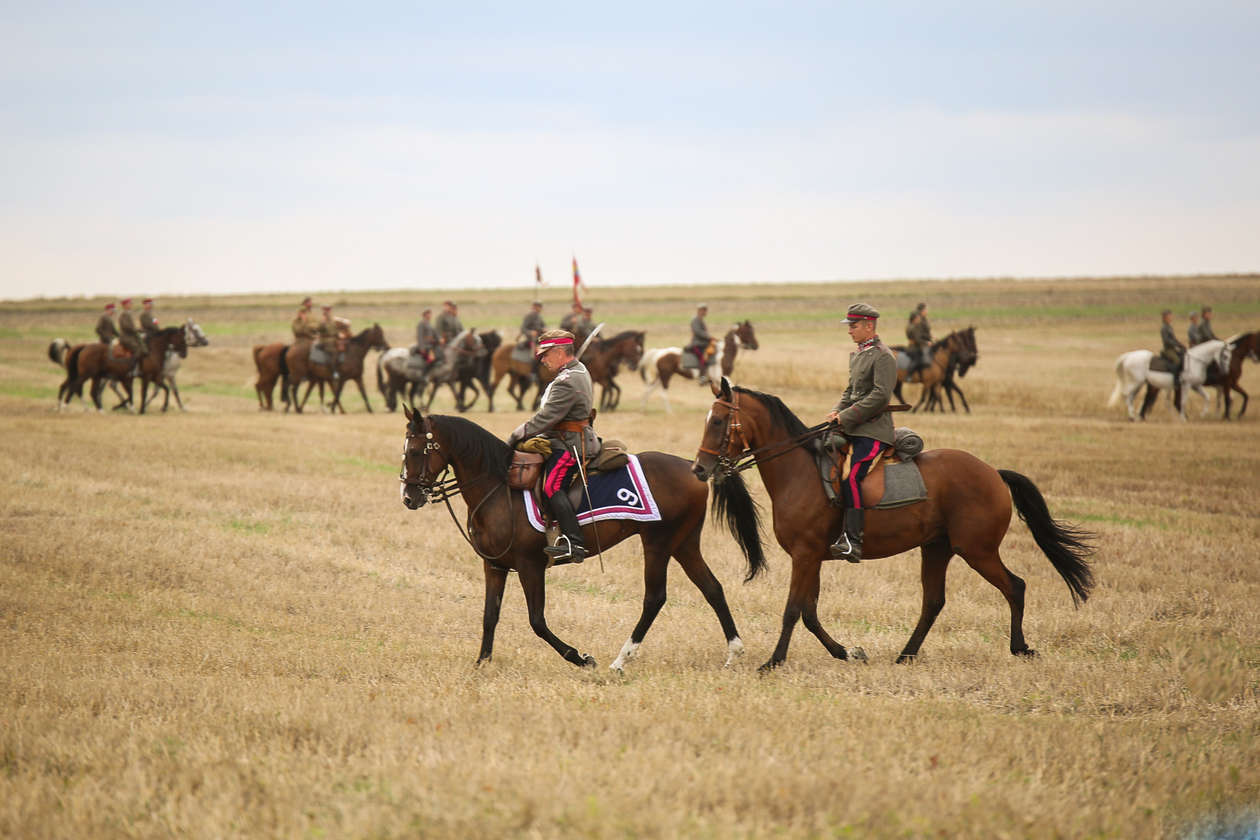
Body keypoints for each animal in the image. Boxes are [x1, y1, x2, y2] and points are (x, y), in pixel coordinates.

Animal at [398, 408, 761, 669]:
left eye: (415, 450)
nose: (408, 497)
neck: (499, 488)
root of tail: (690, 465)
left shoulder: (530, 567)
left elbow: (537, 621)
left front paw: (580, 658)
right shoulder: (495, 567)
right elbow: (490, 616)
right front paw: (481, 663)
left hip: (658, 543)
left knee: (655, 597)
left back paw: (621, 659)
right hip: (684, 544)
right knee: (712, 588)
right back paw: (734, 652)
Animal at [690, 380, 1093, 669]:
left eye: (718, 421)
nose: (699, 469)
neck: (800, 471)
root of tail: (992, 472)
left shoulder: (804, 556)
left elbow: (793, 610)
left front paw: (773, 661)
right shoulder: (813, 557)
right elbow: (809, 612)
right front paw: (847, 652)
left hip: (976, 550)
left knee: (1015, 586)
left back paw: (1020, 648)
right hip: (937, 548)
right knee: (933, 601)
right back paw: (906, 655)